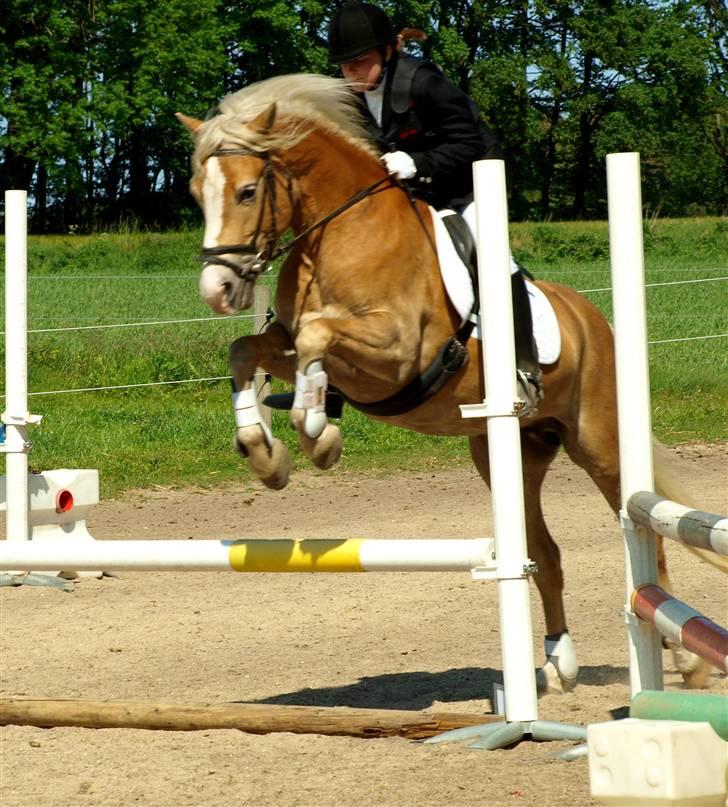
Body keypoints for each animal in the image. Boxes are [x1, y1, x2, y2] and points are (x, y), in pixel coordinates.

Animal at [176, 74, 712, 696]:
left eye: (246, 192)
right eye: (197, 192)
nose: (217, 290)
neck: (337, 234)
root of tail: (594, 321)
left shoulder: (398, 351)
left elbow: (316, 337)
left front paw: (317, 433)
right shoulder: (293, 344)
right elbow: (250, 351)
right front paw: (265, 455)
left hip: (598, 443)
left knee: (643, 529)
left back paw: (686, 659)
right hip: (510, 454)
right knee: (544, 553)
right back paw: (558, 663)